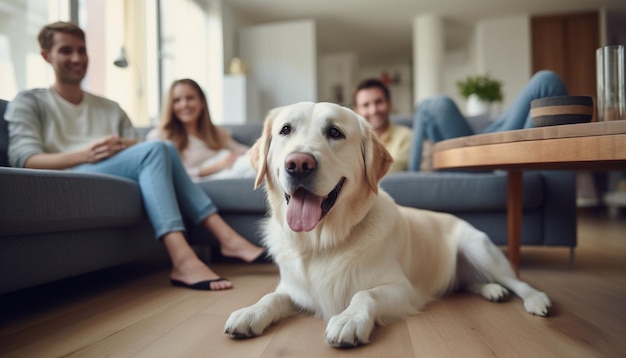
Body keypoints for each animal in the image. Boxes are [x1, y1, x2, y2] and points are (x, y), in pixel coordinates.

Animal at [223, 100, 544, 346]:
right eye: (285, 130)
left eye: (335, 132)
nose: (298, 163)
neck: (323, 242)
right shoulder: (293, 289)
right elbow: (271, 297)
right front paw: (249, 313)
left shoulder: (402, 290)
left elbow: (364, 294)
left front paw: (349, 319)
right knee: (472, 282)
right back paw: (492, 290)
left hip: (478, 248)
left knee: (516, 281)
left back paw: (536, 300)